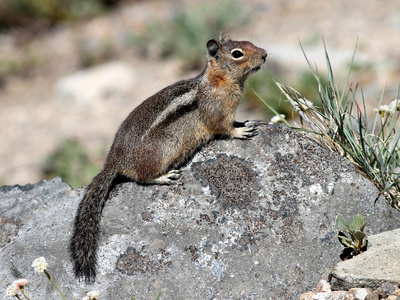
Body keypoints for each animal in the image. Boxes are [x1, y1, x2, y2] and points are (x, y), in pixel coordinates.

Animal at [70, 32, 268, 284]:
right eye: (237, 54)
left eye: (250, 42)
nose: (265, 54)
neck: (219, 81)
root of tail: (114, 159)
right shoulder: (217, 113)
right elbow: (224, 128)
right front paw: (240, 131)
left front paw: (247, 122)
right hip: (164, 152)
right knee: (142, 177)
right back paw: (165, 177)